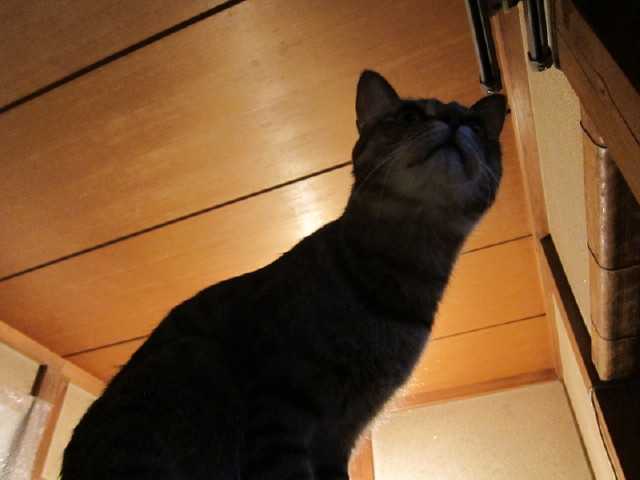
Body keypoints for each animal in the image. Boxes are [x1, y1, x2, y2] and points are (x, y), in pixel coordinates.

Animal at [61, 70, 506, 480]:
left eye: (476, 126)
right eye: (411, 114)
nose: (455, 124)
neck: (404, 270)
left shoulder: (344, 431)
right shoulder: (283, 399)